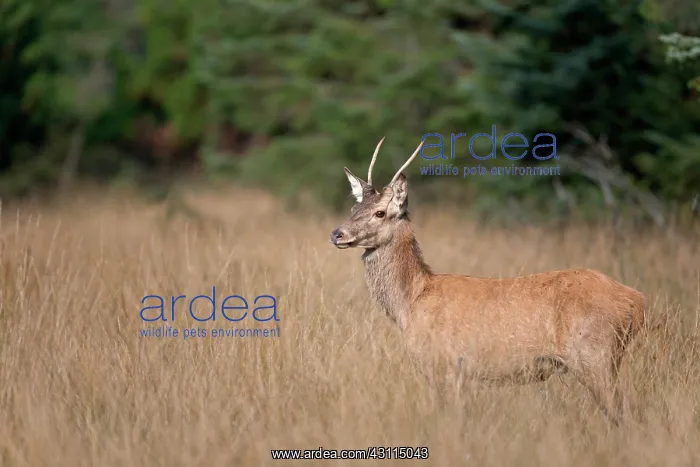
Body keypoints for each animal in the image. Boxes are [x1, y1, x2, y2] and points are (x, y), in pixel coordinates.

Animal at [329, 137, 647, 425]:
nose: (337, 234)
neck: (410, 303)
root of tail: (638, 301)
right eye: (353, 209)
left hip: (595, 354)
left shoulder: (445, 364)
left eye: (380, 212)